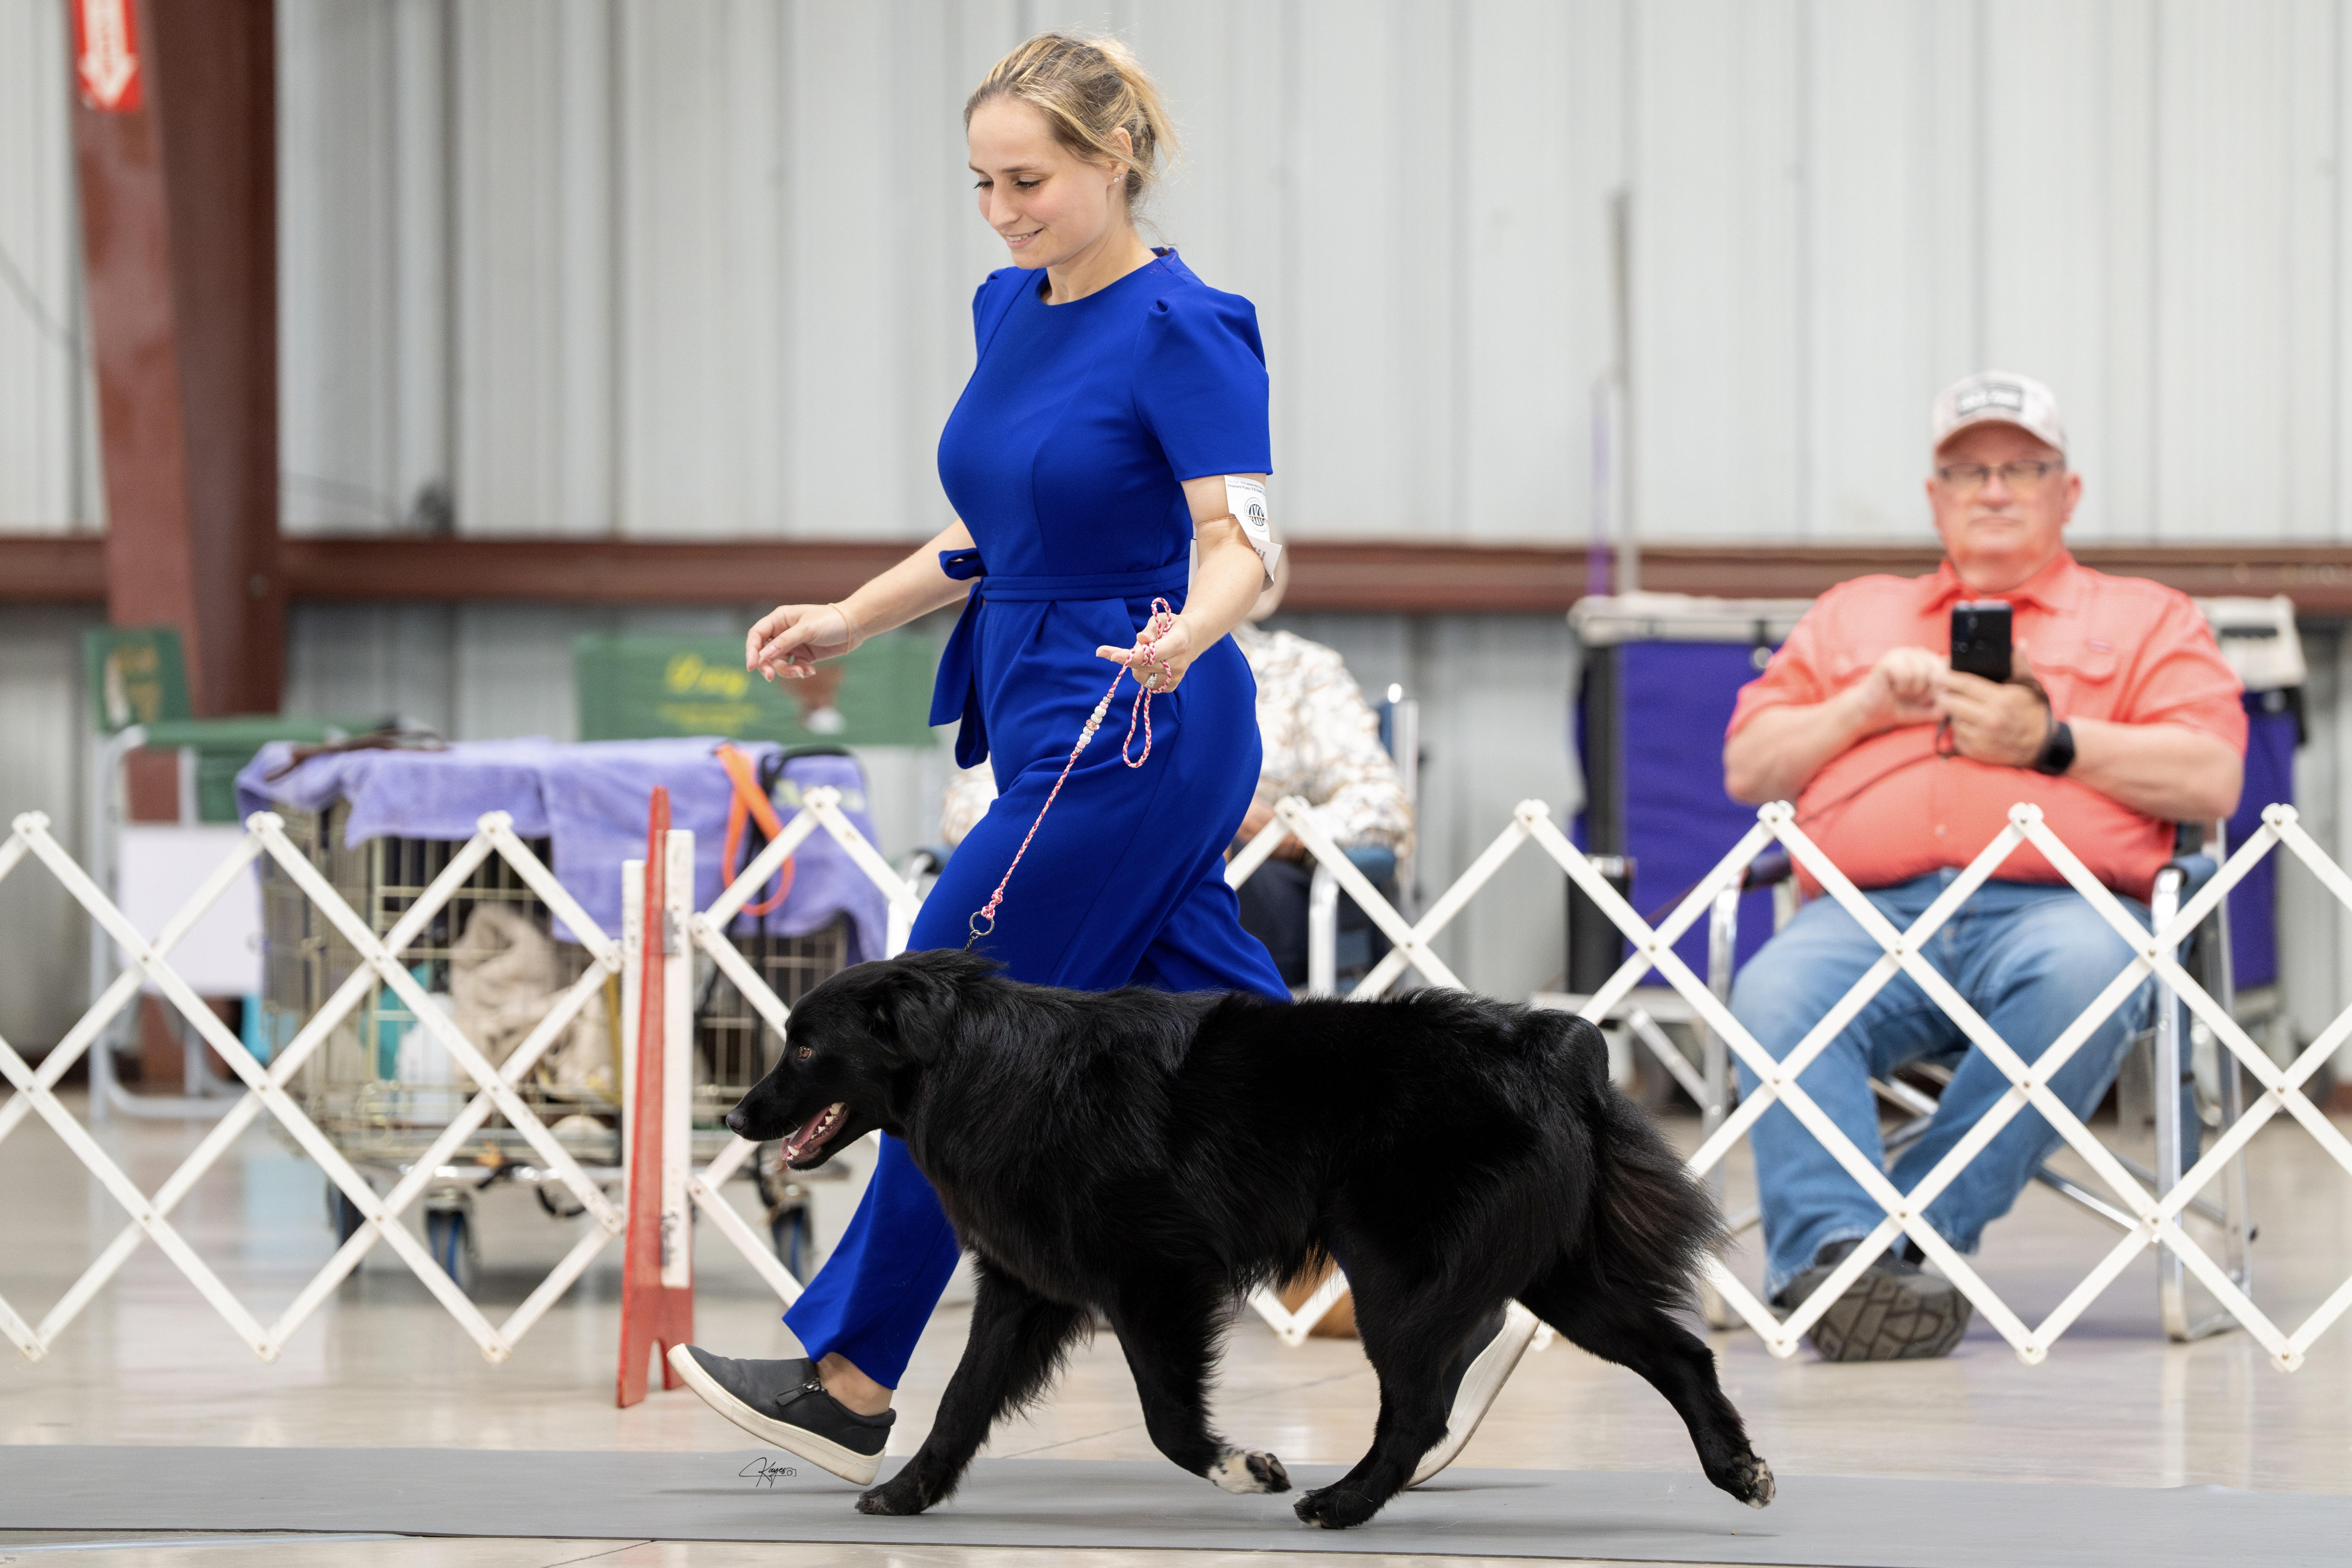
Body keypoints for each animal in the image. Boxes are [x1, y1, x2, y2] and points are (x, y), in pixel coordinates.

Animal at [727, 949, 1772, 1530]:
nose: (737, 1115)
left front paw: (1245, 1469)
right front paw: (908, 1494)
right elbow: (961, 1401)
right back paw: (1738, 1470)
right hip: (1555, 1273)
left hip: (1393, 1274)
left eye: (807, 1047)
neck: (982, 1065)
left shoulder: (1155, 1281)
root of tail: (1556, 1049)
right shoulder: (1027, 1288)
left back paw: (1342, 1505)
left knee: (1420, 1405)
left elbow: (1165, 1418)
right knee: (1679, 1354)